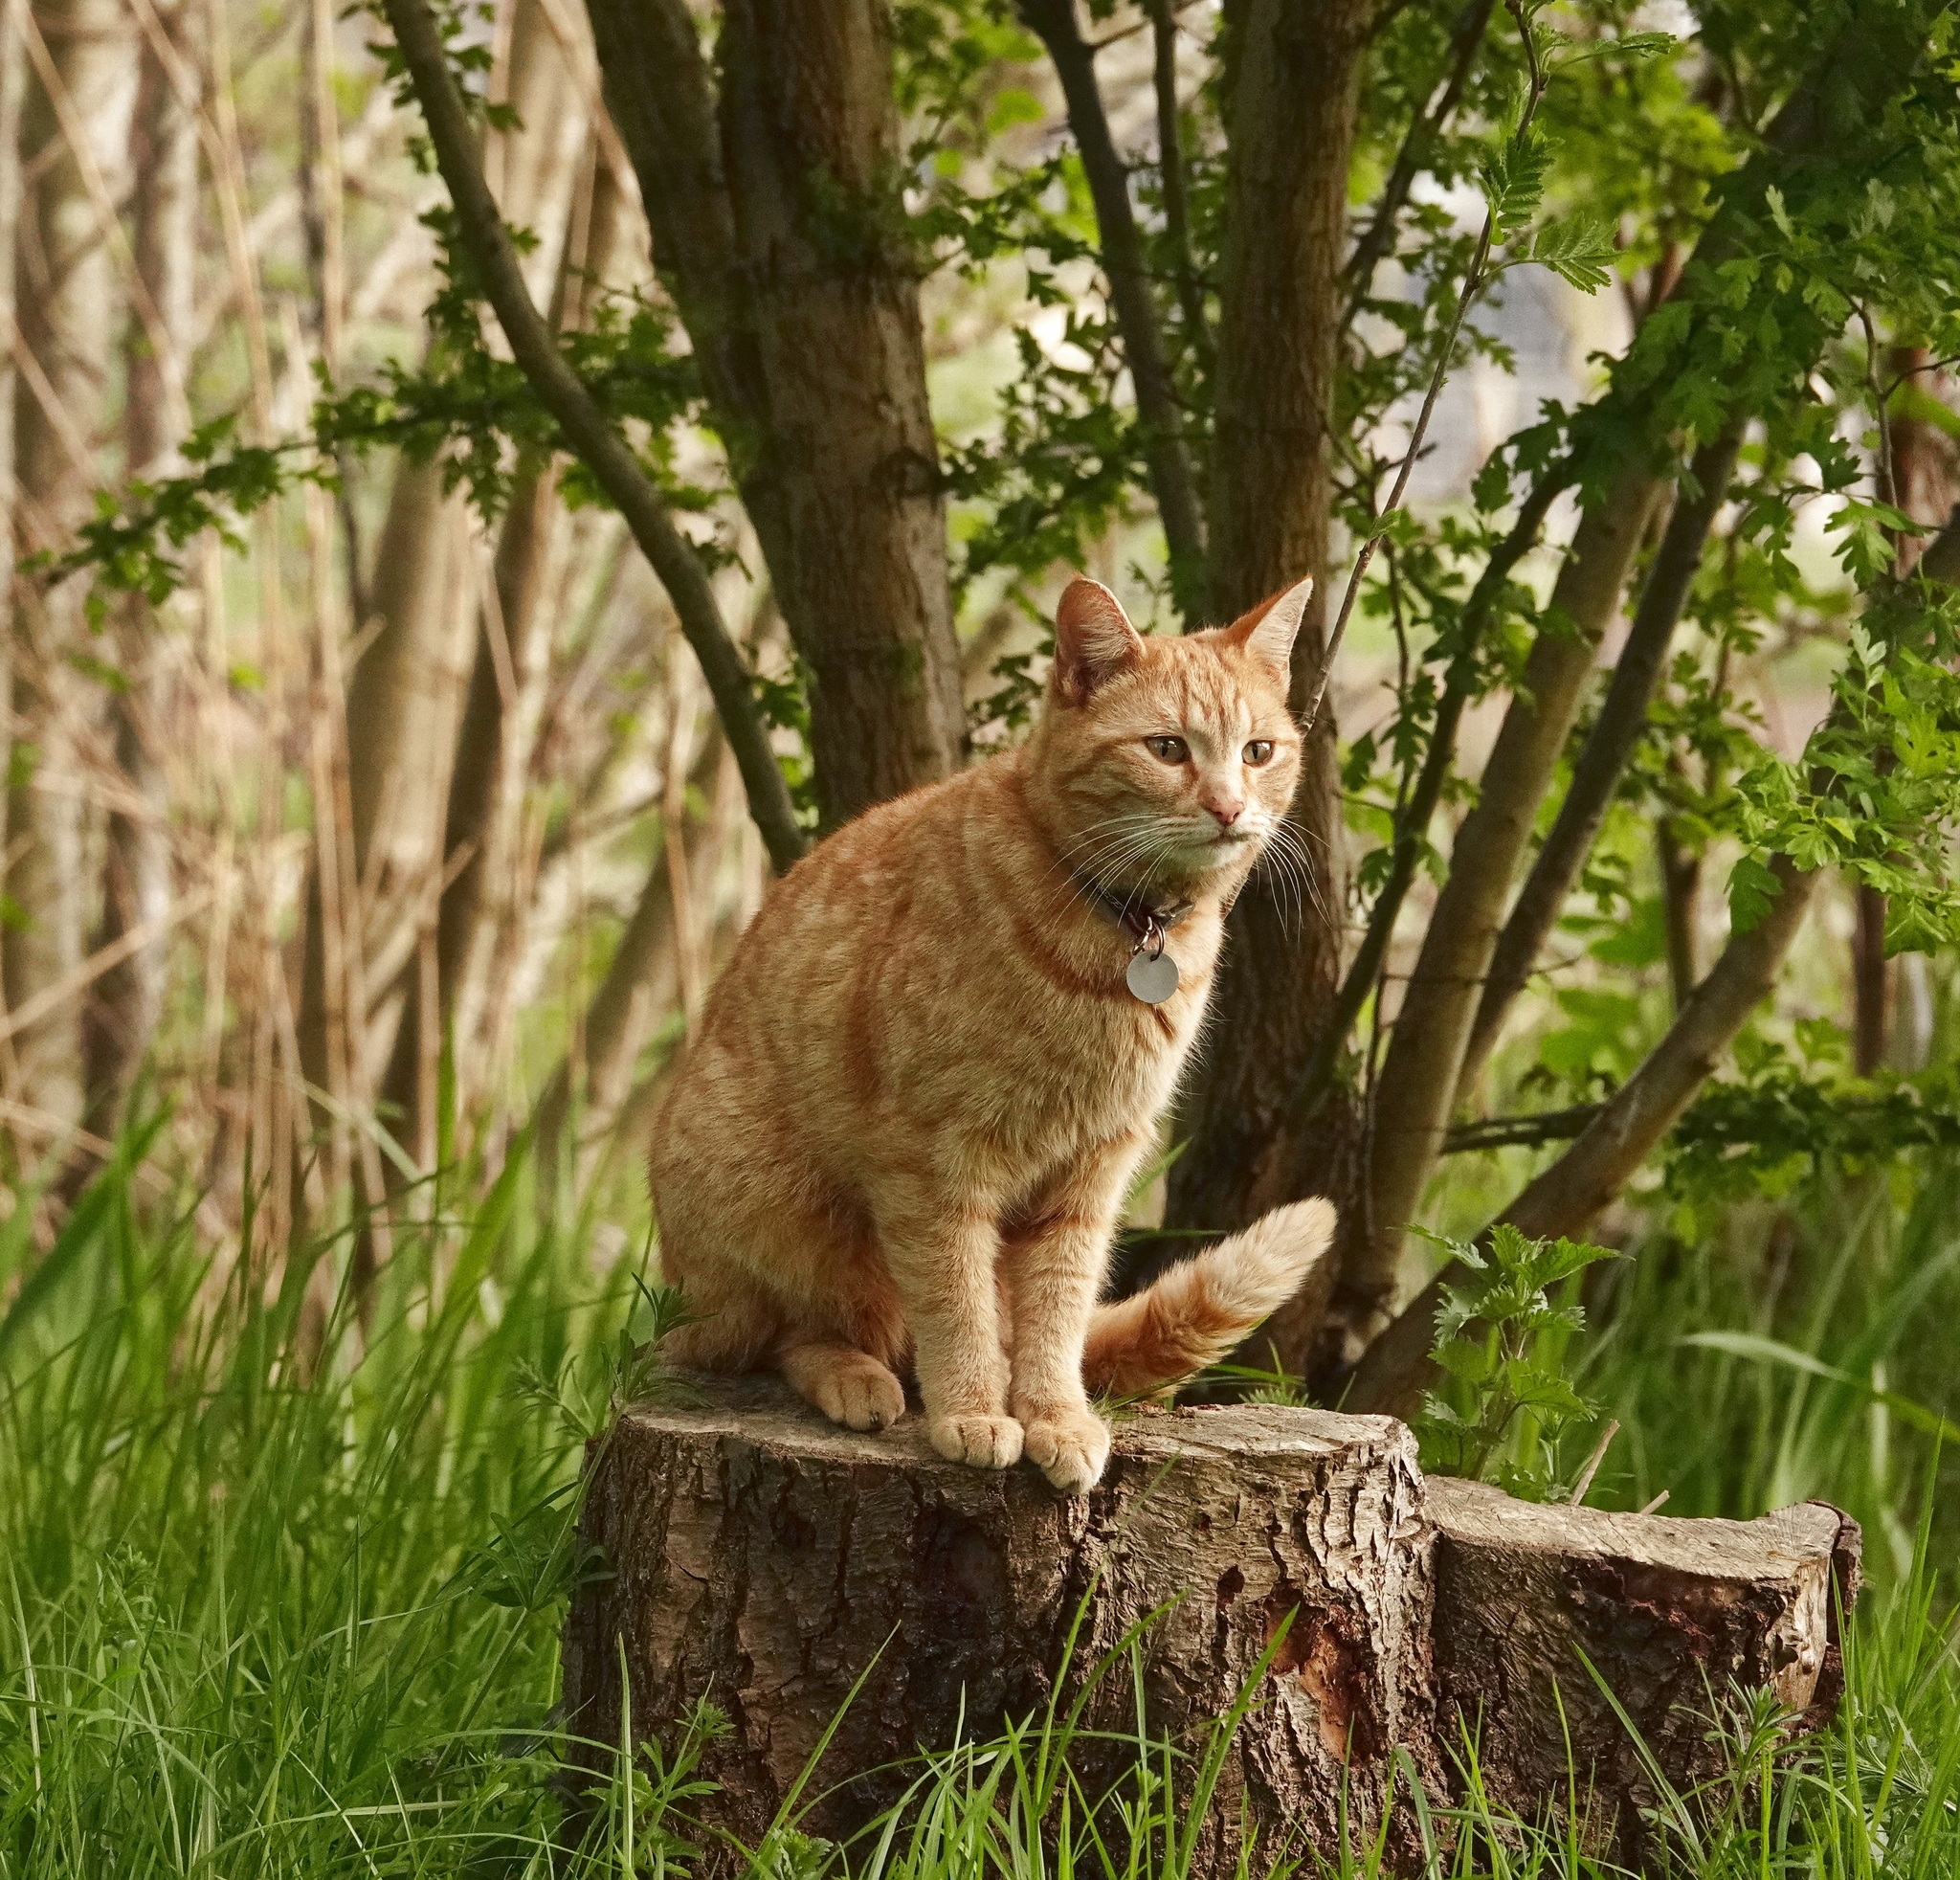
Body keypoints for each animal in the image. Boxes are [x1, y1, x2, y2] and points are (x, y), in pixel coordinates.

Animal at [650, 580, 1340, 1489]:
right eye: (1167, 749)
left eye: (1259, 751)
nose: (1228, 807)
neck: (1122, 932)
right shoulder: (934, 1166)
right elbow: (957, 1302)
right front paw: (976, 1410)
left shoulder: (1090, 1176)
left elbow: (1056, 1313)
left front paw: (1054, 1415)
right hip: (778, 1213)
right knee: (795, 1333)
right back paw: (856, 1379)